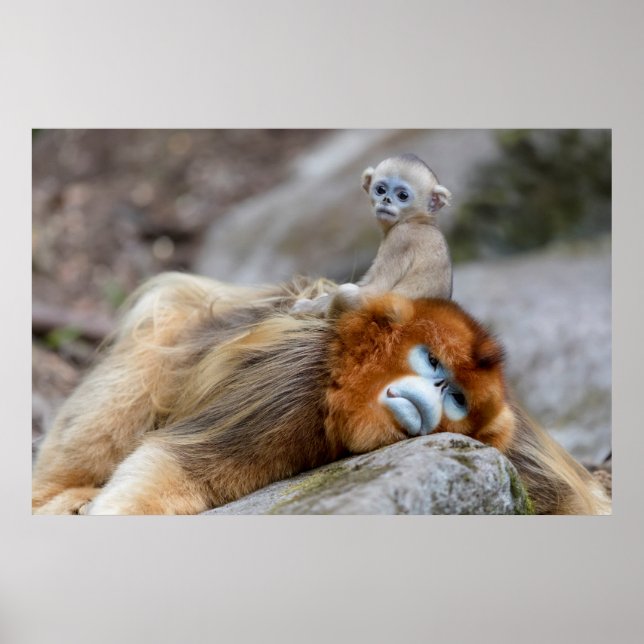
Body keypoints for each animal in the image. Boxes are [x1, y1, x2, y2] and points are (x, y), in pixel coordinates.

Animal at [32, 272, 610, 515]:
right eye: (431, 362)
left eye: (460, 400)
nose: (434, 393)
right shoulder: (295, 382)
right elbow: (176, 465)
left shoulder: (512, 453)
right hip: (172, 324)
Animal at [291, 153, 453, 315]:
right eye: (381, 190)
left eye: (403, 195)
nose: (386, 200)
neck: (418, 221)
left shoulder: (400, 238)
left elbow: (376, 290)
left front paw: (309, 307)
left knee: (346, 292)